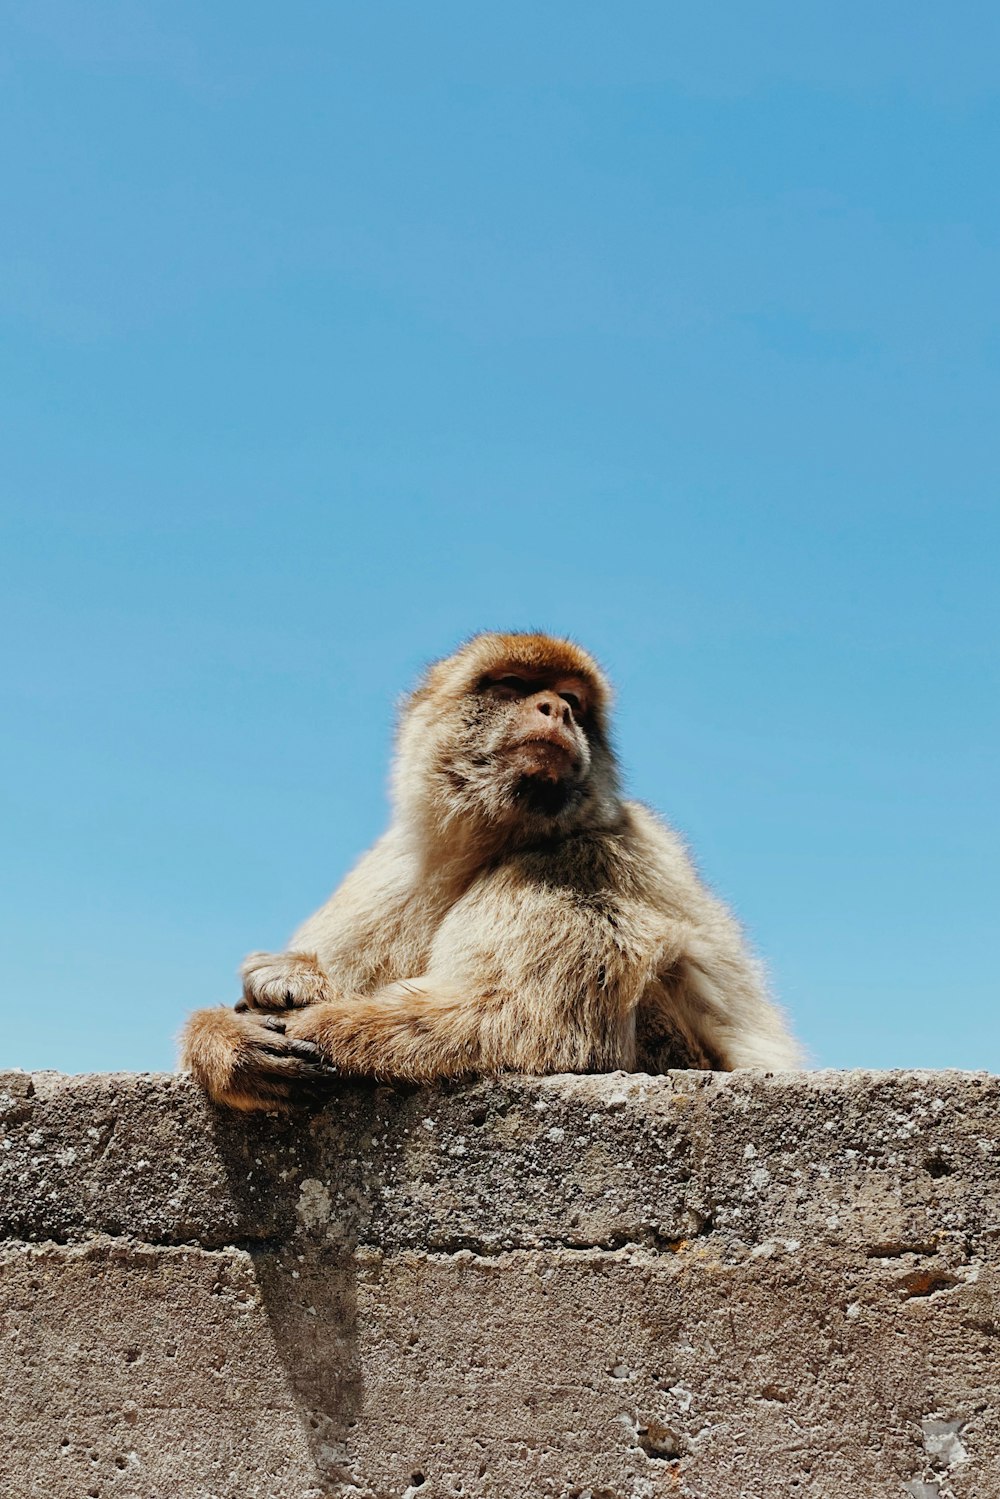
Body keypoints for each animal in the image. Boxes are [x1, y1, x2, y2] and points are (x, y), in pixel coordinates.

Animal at [182, 626, 803, 1109]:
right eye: (514, 687)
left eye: (572, 698)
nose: (558, 709)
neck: (487, 843)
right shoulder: (390, 869)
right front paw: (231, 1034)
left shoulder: (576, 862)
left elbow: (523, 1025)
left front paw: (310, 1017)